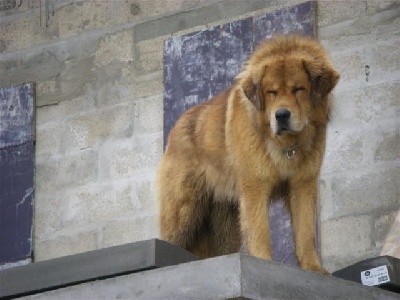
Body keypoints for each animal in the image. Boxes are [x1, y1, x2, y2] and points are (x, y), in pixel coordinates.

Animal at [158, 35, 340, 274]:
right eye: (271, 92)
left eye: (298, 89)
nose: (282, 115)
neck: (286, 145)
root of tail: (177, 126)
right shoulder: (255, 185)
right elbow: (259, 230)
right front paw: (264, 262)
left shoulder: (302, 184)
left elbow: (306, 232)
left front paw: (313, 268)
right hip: (183, 209)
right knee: (170, 239)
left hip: (224, 222)